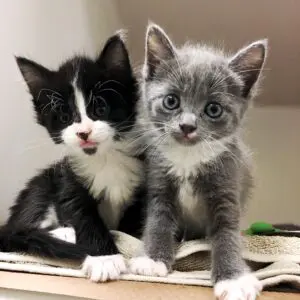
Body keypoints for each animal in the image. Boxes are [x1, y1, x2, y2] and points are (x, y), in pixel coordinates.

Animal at [0, 32, 144, 282]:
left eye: (100, 108)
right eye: (65, 117)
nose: (83, 133)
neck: (104, 159)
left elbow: (135, 217)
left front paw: (127, 238)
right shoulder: (68, 180)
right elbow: (82, 215)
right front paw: (104, 258)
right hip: (42, 185)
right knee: (20, 229)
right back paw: (65, 233)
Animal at [129, 24, 268, 300]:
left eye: (213, 109)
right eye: (171, 101)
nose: (187, 126)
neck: (188, 158)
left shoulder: (227, 185)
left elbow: (227, 233)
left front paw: (234, 278)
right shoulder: (159, 181)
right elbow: (158, 220)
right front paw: (152, 259)